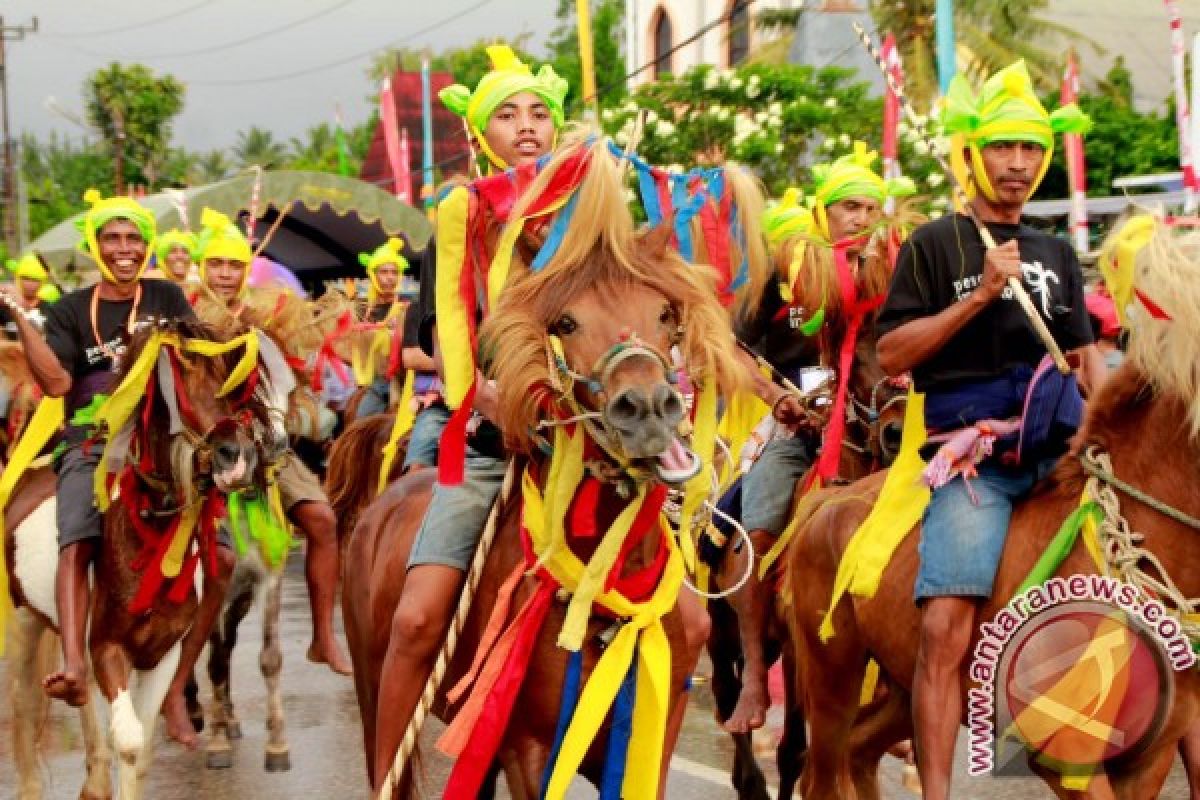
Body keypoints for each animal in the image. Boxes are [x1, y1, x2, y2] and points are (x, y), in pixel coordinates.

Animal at [5, 319, 272, 800]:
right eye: (176, 387)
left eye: (229, 385)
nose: (235, 458)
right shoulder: (108, 648)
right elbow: (127, 741)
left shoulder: (161, 654)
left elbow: (141, 748)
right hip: (23, 621)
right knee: (26, 706)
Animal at [343, 134, 744, 796]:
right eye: (565, 323)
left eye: (664, 314)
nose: (648, 409)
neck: (603, 597)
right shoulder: (526, 748)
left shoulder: (647, 746)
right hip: (380, 693)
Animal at [787, 226, 1200, 800]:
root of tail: (826, 503)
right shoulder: (1067, 757)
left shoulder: (1151, 757)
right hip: (834, 674)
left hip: (898, 682)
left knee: (861, 750)